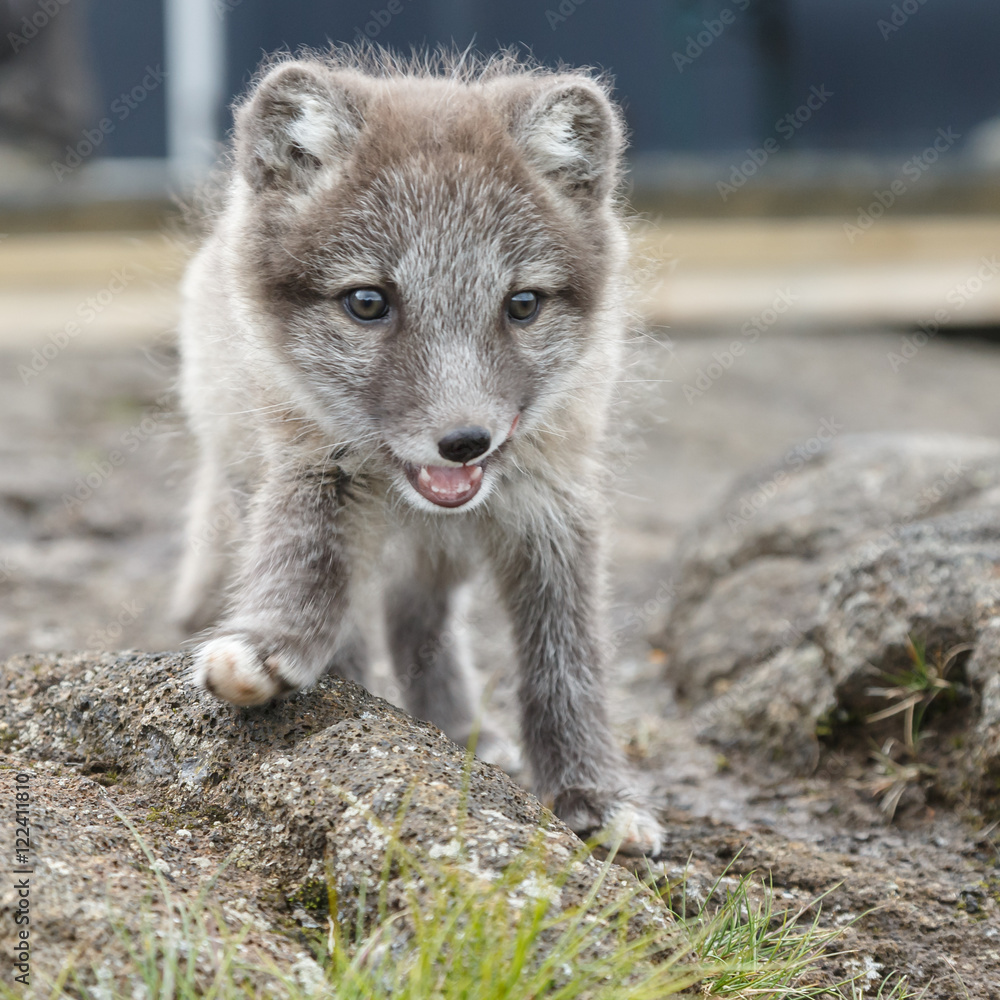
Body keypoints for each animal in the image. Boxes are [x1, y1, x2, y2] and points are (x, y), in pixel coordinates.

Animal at [173, 48, 663, 857]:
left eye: (522, 304)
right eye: (368, 302)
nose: (465, 441)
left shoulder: (556, 500)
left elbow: (568, 659)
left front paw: (595, 796)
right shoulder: (313, 458)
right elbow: (306, 556)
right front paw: (274, 650)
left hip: (446, 550)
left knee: (416, 613)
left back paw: (456, 729)